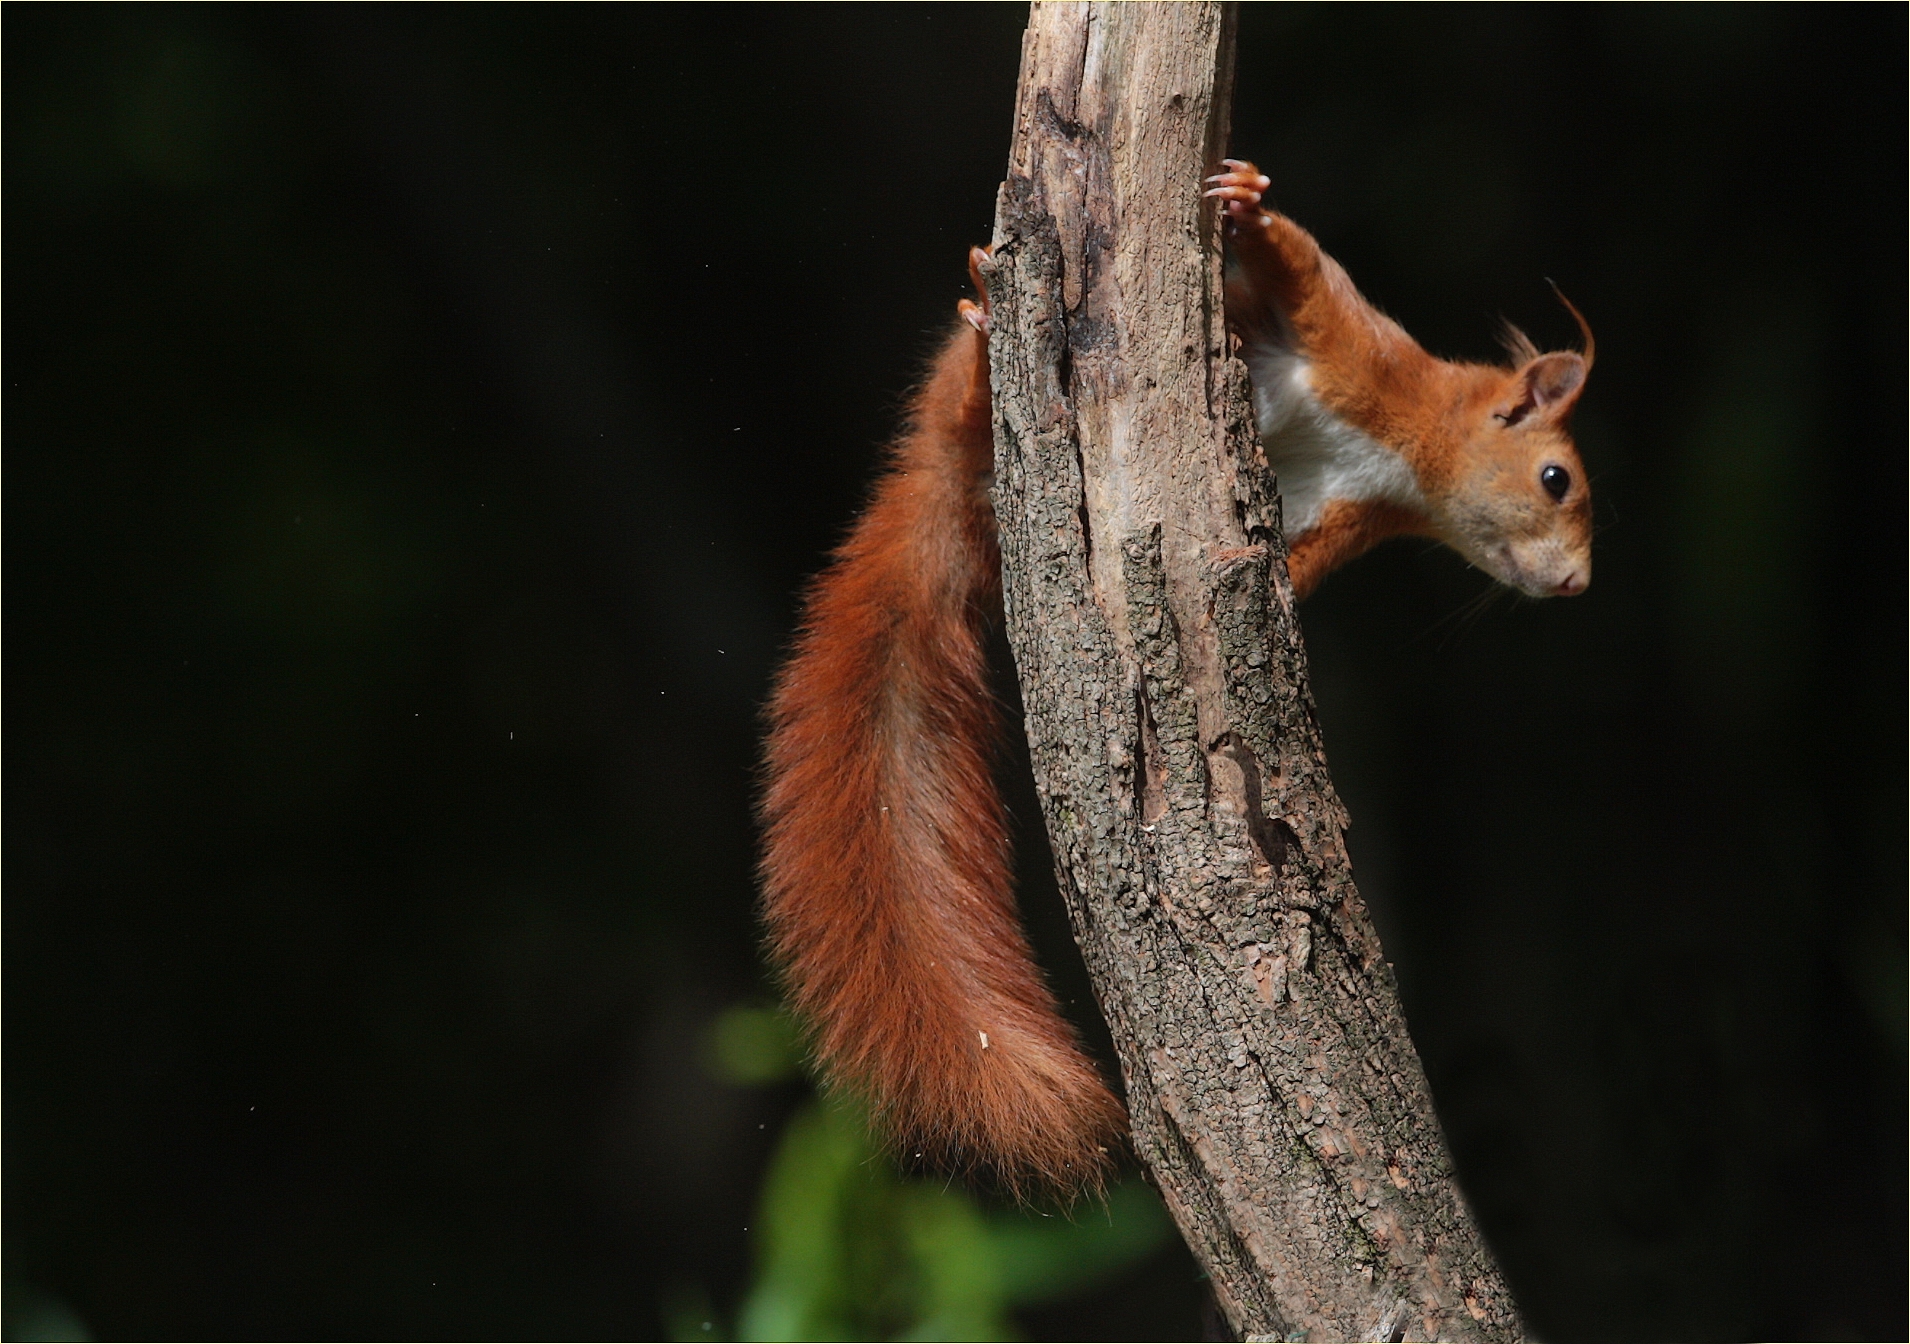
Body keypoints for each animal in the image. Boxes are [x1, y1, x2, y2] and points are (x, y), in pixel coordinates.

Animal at [759, 160, 1593, 1194]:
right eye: (1557, 479)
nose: (1576, 583)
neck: (1399, 463)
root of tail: (943, 511)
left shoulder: (1328, 516)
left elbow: (1282, 565)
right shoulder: (1359, 351)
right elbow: (1306, 272)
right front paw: (1246, 197)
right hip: (968, 418)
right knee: (960, 414)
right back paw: (985, 326)